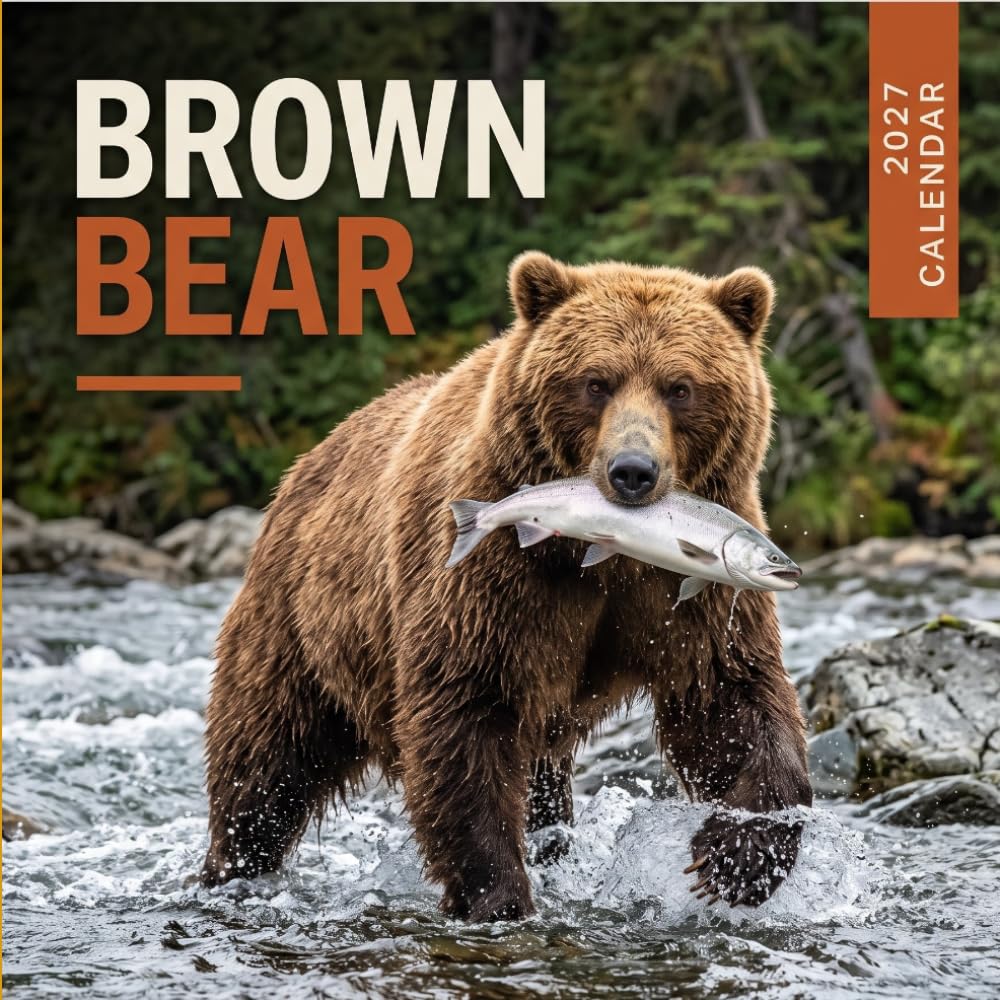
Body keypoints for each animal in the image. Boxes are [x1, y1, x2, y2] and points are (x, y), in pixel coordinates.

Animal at [200, 252, 812, 920]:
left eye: (680, 386)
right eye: (596, 382)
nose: (633, 471)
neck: (607, 556)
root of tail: (304, 465)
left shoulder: (686, 595)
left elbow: (730, 698)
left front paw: (736, 858)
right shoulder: (496, 585)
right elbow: (465, 710)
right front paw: (498, 895)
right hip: (301, 624)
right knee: (266, 763)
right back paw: (230, 868)